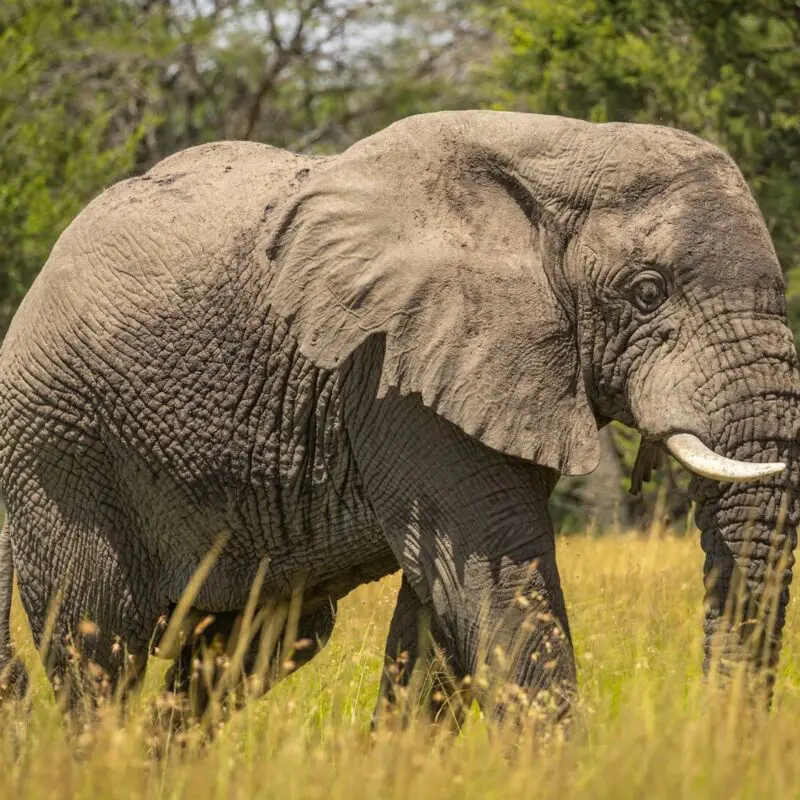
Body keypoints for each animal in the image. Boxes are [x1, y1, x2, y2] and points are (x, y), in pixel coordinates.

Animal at [0, 110, 797, 727]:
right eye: (647, 292)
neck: (566, 152)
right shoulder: (394, 366)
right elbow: (491, 583)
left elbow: (440, 617)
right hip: (61, 445)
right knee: (99, 651)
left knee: (247, 647)